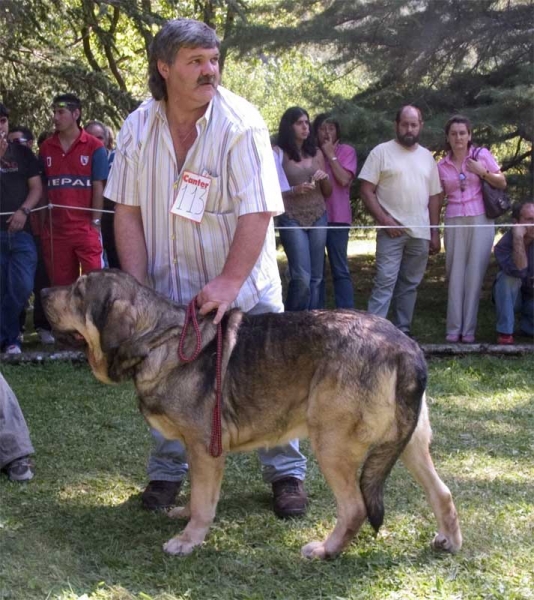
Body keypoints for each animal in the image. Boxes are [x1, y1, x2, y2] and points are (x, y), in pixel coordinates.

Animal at [39, 270, 462, 560]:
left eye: (78, 292)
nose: (41, 292)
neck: (160, 340)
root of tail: (404, 346)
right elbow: (199, 496)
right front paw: (185, 516)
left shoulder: (204, 449)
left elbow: (204, 502)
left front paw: (189, 539)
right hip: (409, 443)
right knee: (442, 492)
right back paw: (449, 540)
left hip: (332, 444)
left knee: (356, 508)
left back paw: (326, 550)